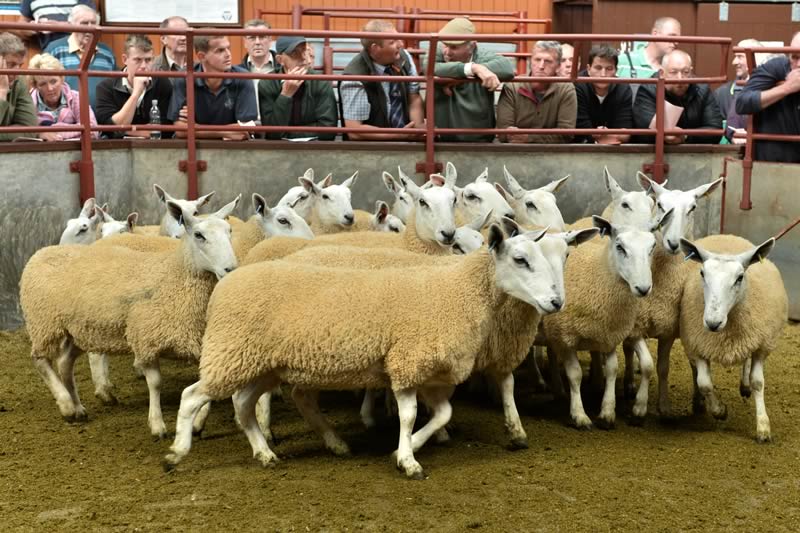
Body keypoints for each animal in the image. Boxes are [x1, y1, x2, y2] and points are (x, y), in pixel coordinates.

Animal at [20, 196, 240, 438]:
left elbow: (207, 382)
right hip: (44, 323)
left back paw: (77, 408)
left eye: (230, 231)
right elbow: (155, 383)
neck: (174, 275)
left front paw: (198, 422)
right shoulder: (146, 338)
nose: (230, 269)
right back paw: (66, 404)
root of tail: (42, 252)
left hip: (77, 329)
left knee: (64, 363)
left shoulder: (198, 340)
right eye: (199, 235)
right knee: (40, 361)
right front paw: (157, 425)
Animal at [163, 224, 564, 478]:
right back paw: (176, 452)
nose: (556, 302)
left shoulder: (431, 373)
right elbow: (409, 415)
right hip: (231, 353)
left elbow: (443, 415)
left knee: (244, 406)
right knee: (192, 396)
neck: (458, 290)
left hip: (261, 364)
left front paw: (407, 448)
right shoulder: (406, 362)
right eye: (520, 260)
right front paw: (408, 461)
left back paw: (268, 453)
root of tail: (227, 282)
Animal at [541, 211, 672, 429]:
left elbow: (615, 369)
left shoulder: (609, 333)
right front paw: (580, 415)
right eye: (620, 247)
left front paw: (609, 412)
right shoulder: (564, 336)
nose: (644, 288)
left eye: (653, 246)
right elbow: (575, 374)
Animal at [679, 235, 787, 442]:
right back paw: (699, 403)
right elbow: (704, 383)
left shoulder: (761, 345)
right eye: (702, 273)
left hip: (751, 336)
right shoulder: (697, 344)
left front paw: (763, 427)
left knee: (746, 361)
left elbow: (757, 382)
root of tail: (728, 236)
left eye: (739, 277)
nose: (712, 323)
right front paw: (720, 411)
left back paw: (744, 386)